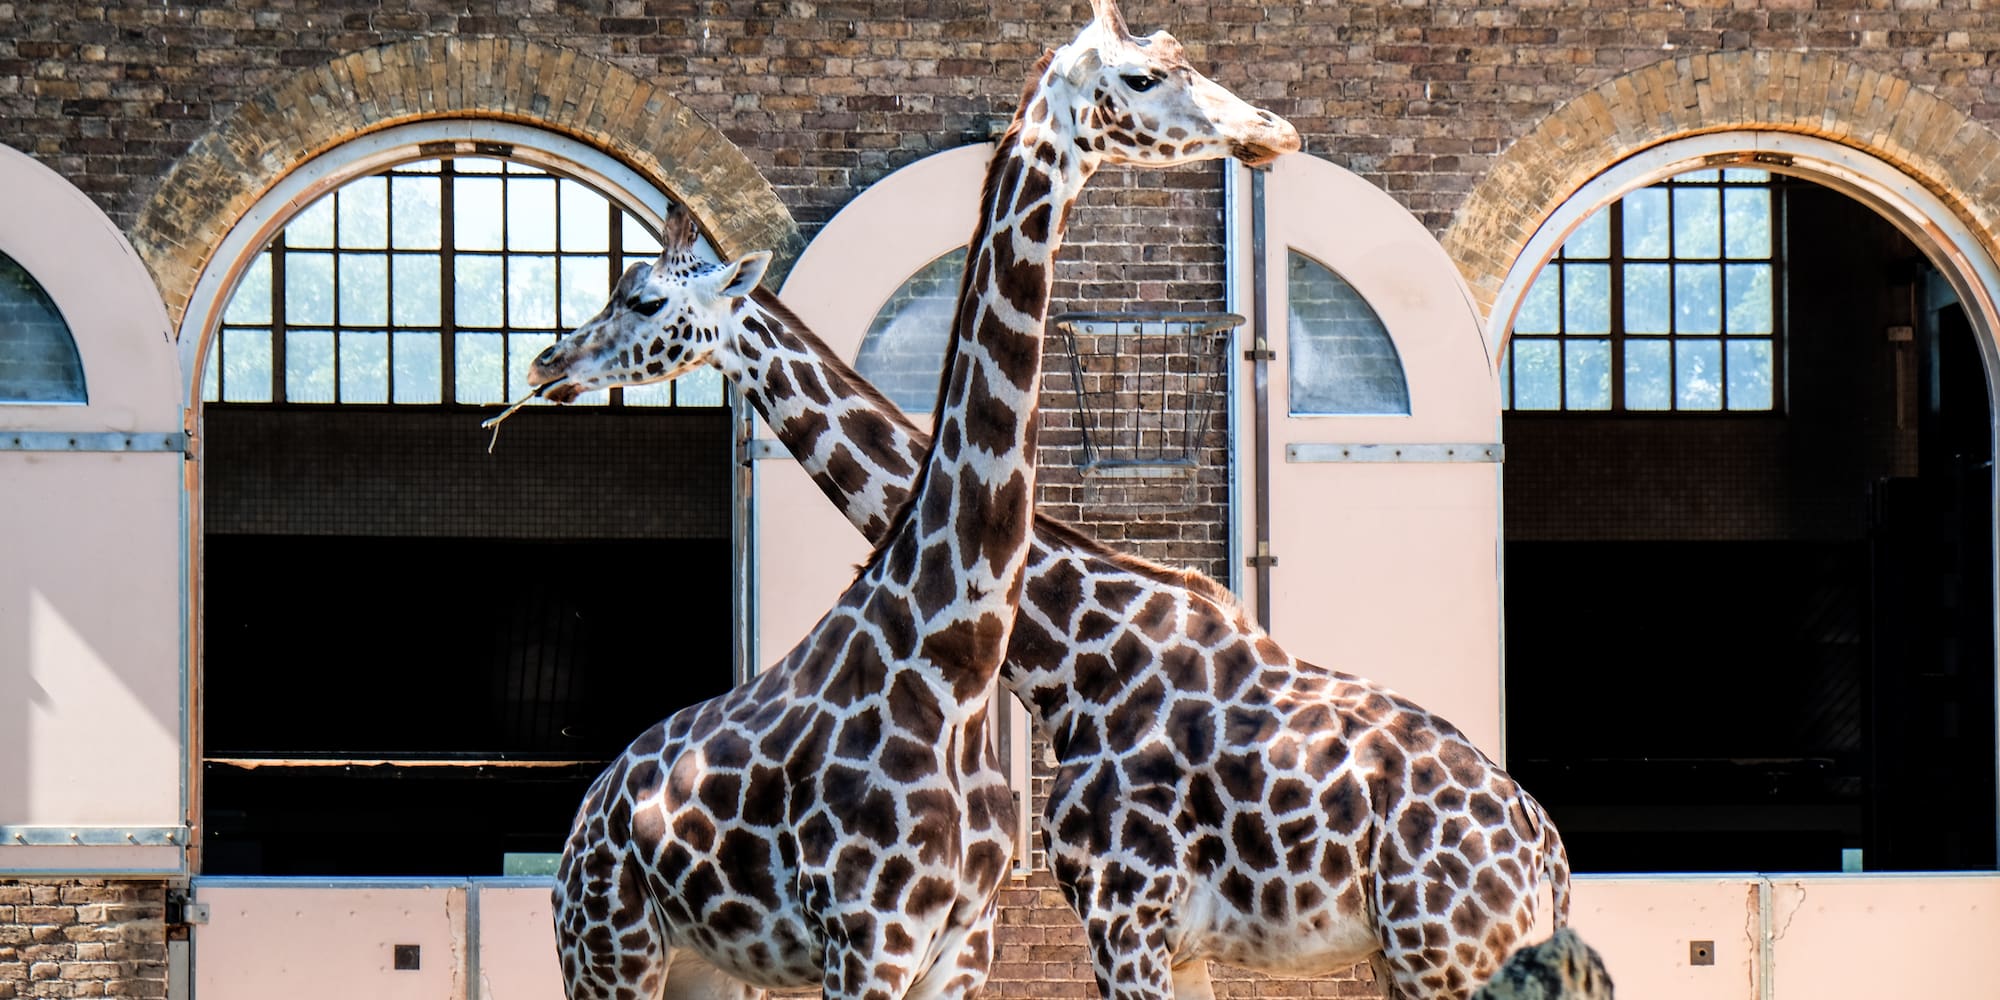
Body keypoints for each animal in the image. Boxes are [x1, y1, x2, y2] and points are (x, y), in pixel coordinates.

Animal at [533, 13, 1563, 1000]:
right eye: (1146, 75)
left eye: (640, 297)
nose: (548, 362)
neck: (1066, 654)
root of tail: (1545, 851)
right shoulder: (1113, 930)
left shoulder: (1106, 916)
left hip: (1443, 953)